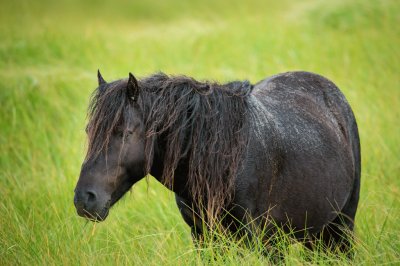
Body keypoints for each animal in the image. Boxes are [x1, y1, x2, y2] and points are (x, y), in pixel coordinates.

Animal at [73, 69, 360, 252]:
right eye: (88, 131)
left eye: (125, 133)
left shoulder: (255, 237)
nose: (84, 199)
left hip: (341, 225)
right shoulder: (203, 236)